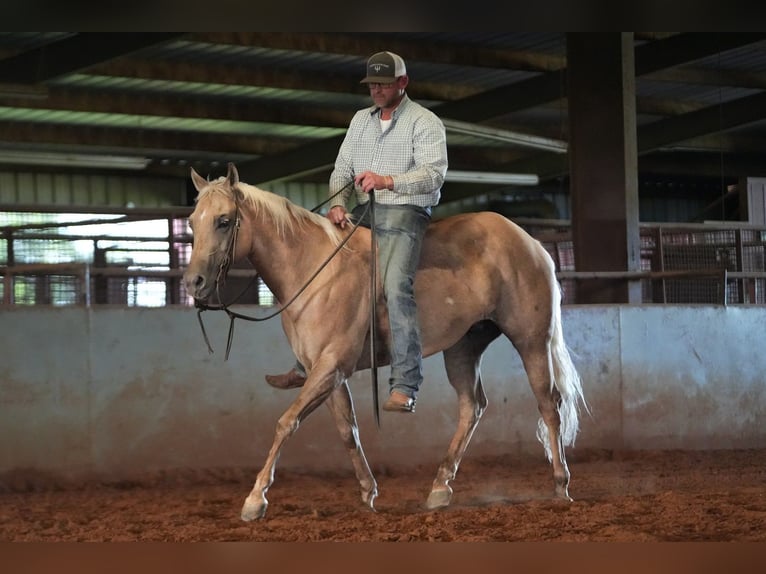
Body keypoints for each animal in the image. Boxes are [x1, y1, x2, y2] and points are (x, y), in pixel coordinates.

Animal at [184, 162, 588, 520]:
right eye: (191, 222)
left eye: (224, 220)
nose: (193, 283)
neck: (315, 269)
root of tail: (529, 242)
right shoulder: (326, 373)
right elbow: (348, 431)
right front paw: (368, 491)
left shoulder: (332, 365)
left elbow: (287, 422)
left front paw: (255, 499)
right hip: (463, 346)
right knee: (471, 407)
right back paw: (440, 487)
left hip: (531, 340)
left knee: (548, 404)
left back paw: (560, 485)